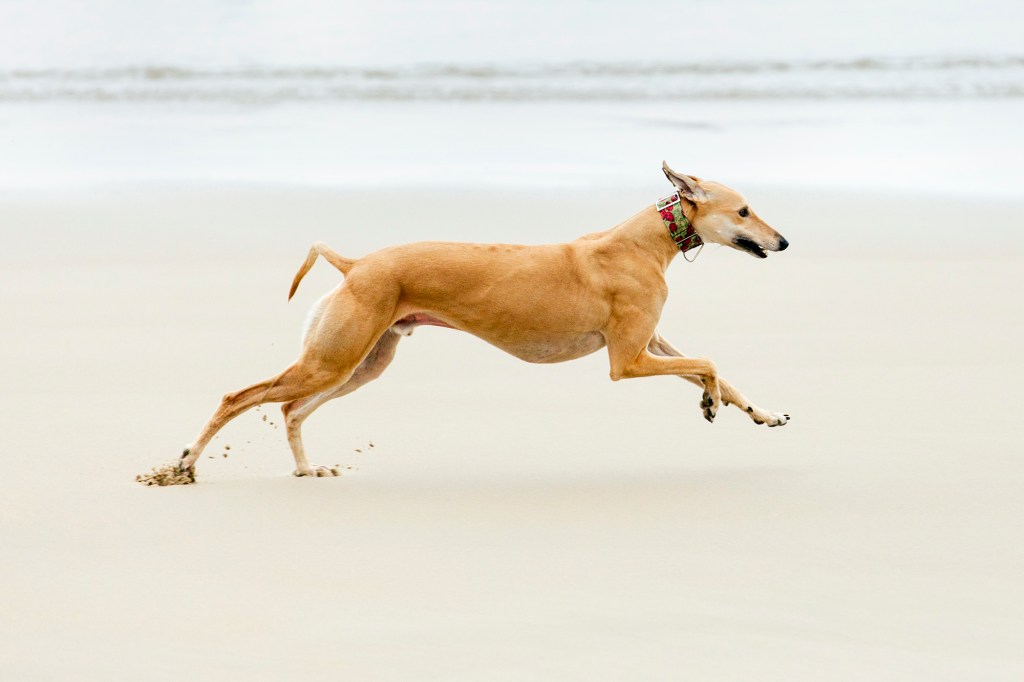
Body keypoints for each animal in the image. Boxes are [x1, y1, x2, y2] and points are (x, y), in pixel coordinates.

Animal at [178, 161, 790, 475]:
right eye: (743, 210)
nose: (783, 242)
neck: (642, 241)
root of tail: (356, 264)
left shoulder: (652, 345)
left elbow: (719, 372)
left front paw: (761, 413)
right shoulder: (627, 360)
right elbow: (709, 363)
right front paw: (709, 402)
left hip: (362, 363)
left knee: (290, 410)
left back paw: (306, 469)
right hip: (335, 358)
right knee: (241, 396)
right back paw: (184, 464)